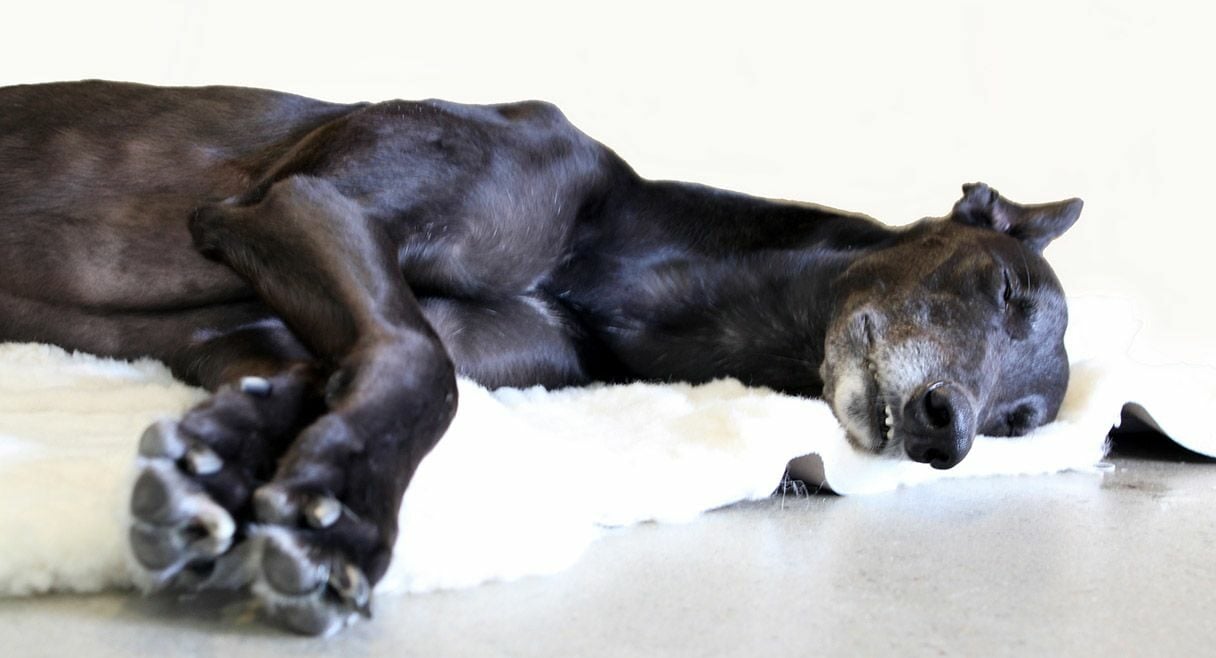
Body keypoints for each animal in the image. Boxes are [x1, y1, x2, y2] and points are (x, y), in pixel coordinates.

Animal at [0, 79, 1084, 632]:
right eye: (1005, 287)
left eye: (1017, 424)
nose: (947, 431)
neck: (623, 258)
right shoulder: (298, 206)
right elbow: (419, 365)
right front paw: (344, 525)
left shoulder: (249, 328)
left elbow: (326, 369)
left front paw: (222, 465)